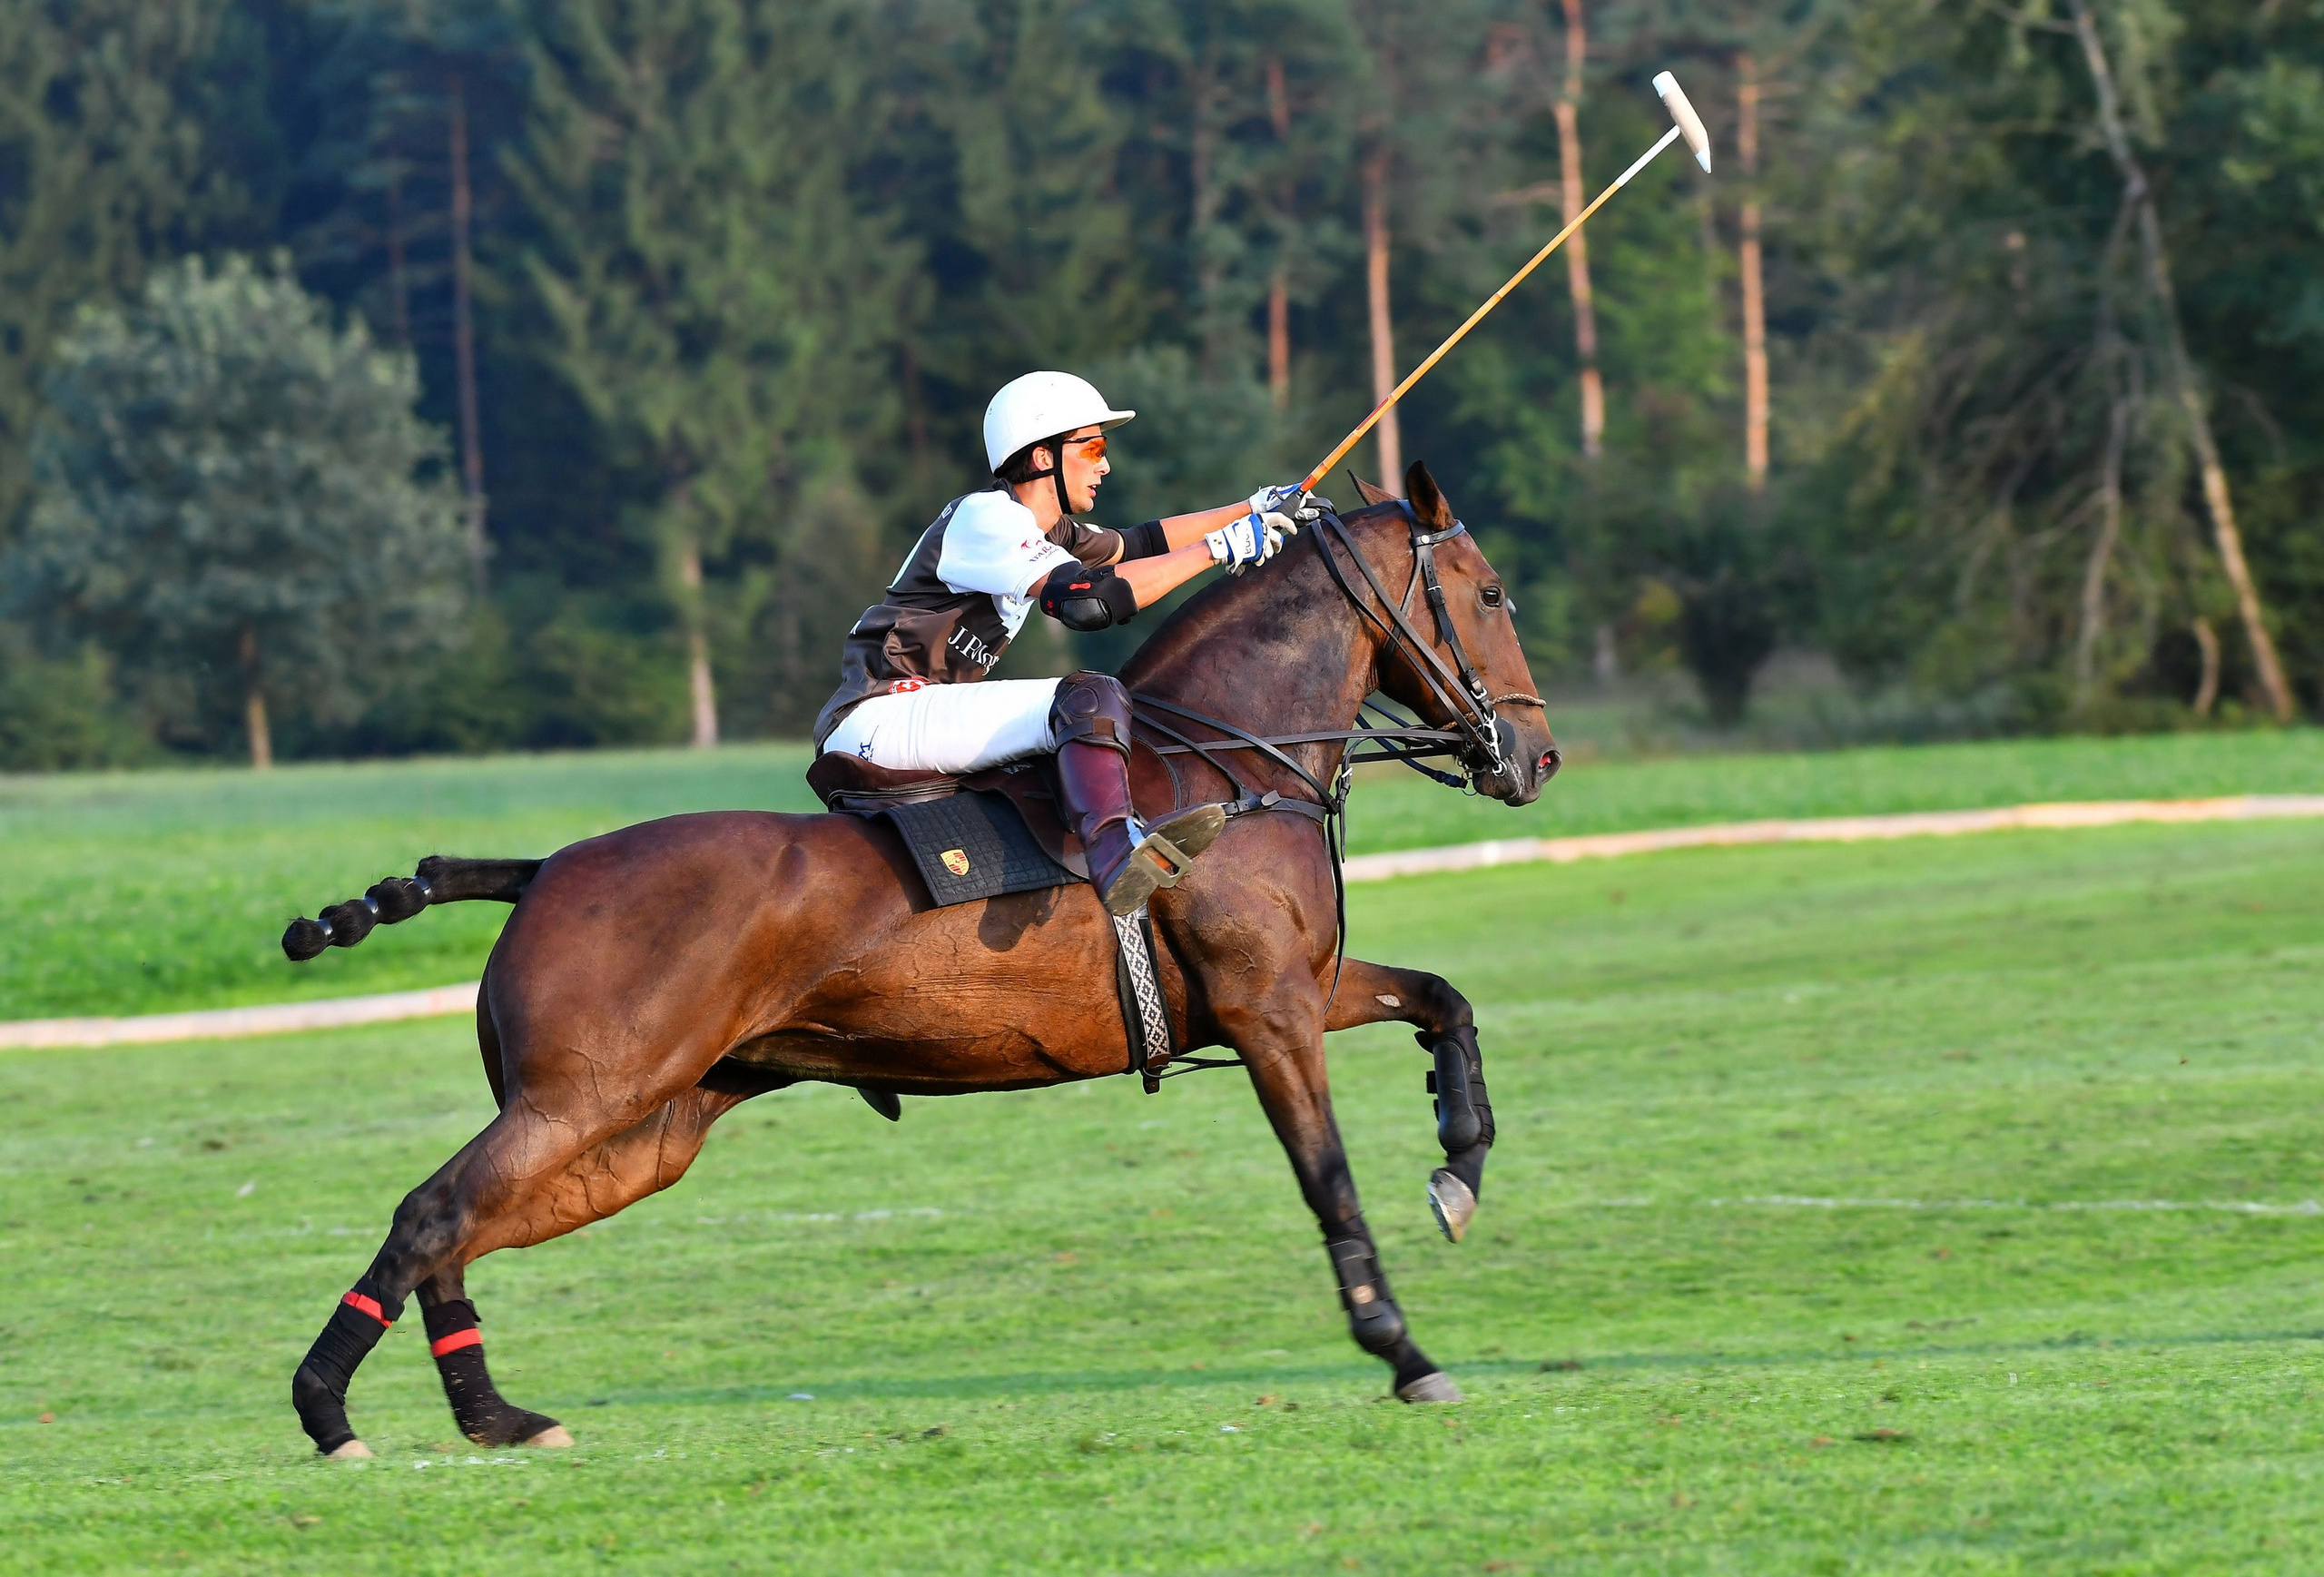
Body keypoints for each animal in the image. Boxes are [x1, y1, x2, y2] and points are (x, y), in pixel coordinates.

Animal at [281, 461, 1559, 1458]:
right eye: (1491, 591)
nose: (1534, 756)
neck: (1232, 762)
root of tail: (543, 869)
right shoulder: (1268, 1013)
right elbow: (1327, 1177)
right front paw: (1401, 1348)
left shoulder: (1295, 989)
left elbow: (1441, 1001)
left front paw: (1458, 1166)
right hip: (581, 1098)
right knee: (430, 1212)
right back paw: (330, 1412)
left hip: (649, 1129)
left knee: (461, 1230)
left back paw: (491, 1415)